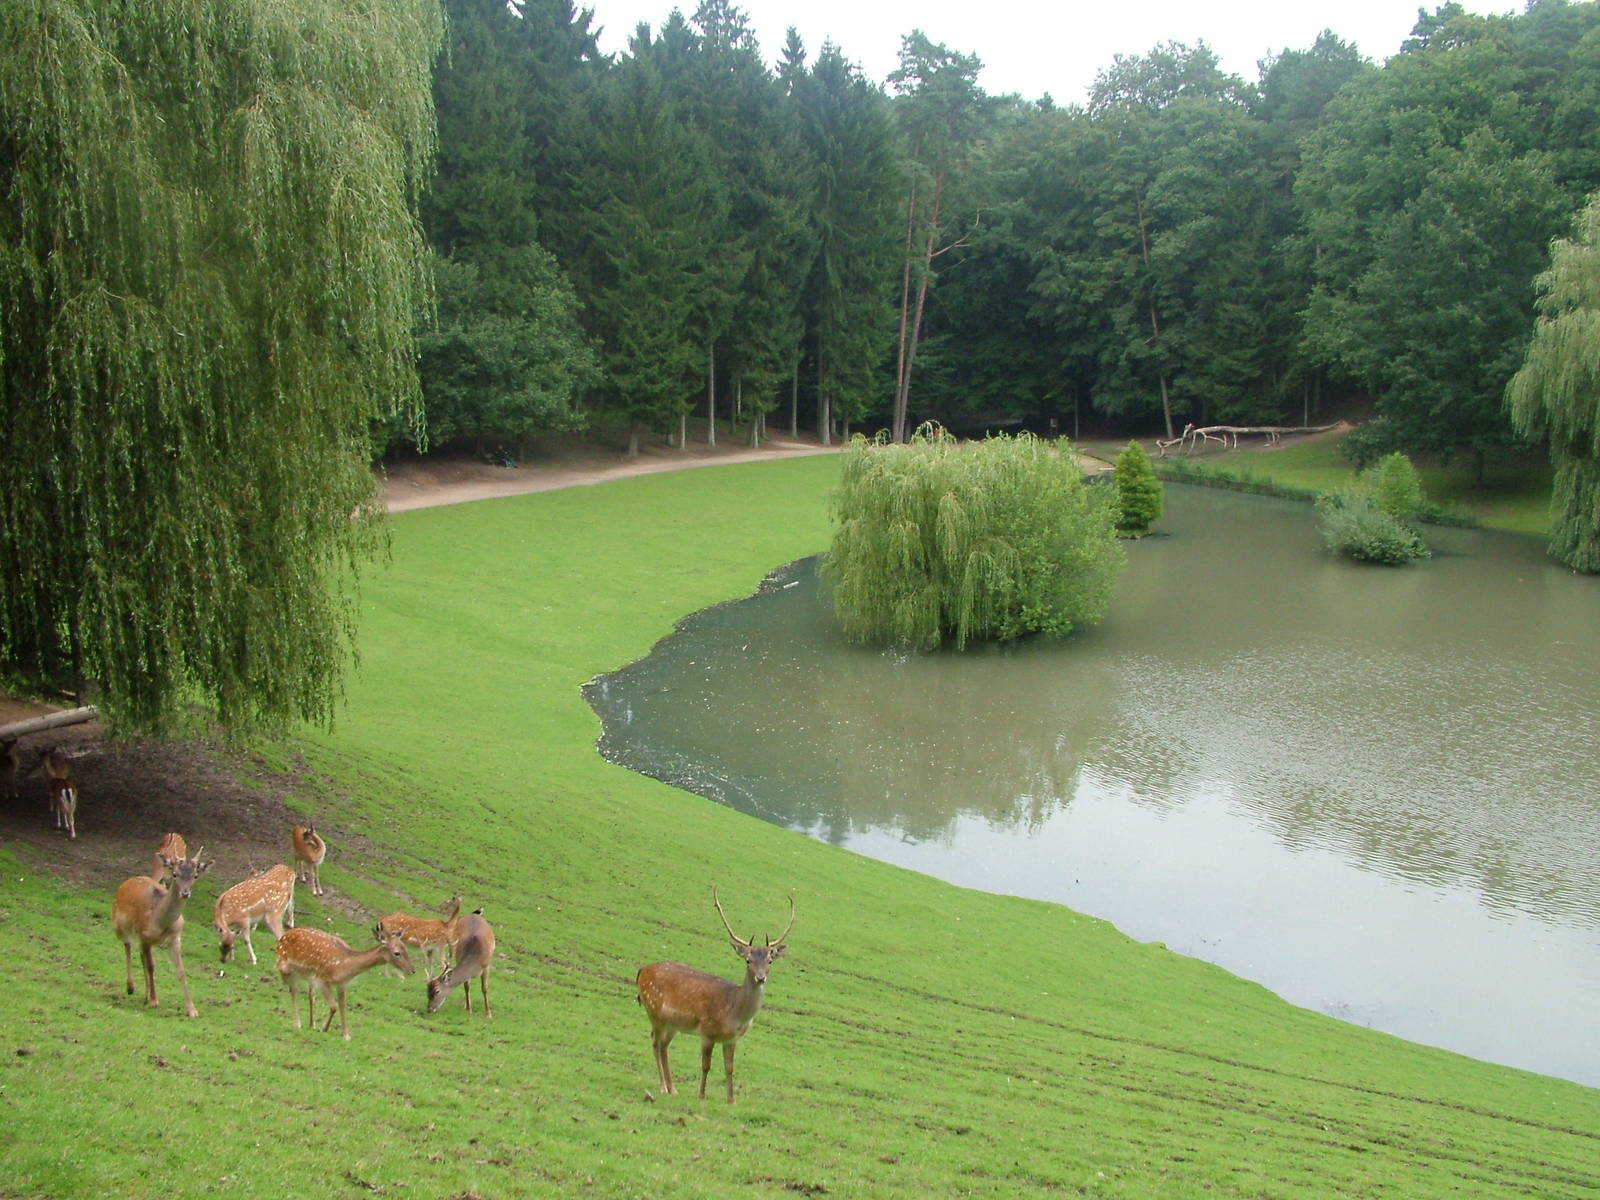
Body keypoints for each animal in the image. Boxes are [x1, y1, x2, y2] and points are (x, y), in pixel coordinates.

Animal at [110, 846, 210, 1018]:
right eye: (175, 874)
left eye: (195, 875)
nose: (185, 893)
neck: (160, 922)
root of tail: (127, 882)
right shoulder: (145, 936)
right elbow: (151, 966)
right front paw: (154, 1001)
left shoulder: (175, 938)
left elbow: (181, 971)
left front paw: (192, 1010)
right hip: (119, 925)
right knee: (128, 946)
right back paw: (131, 987)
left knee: (140, 955)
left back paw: (145, 995)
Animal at [274, 923, 414, 1040]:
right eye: (397, 953)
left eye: (406, 949)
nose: (412, 970)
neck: (343, 968)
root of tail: (282, 937)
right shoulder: (321, 980)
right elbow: (334, 1006)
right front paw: (324, 1028)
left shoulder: (342, 984)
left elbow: (342, 1006)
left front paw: (346, 1035)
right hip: (285, 967)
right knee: (293, 991)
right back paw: (297, 1023)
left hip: (308, 977)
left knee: (310, 995)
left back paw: (311, 1024)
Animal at [636, 888, 794, 1103]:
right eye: (748, 960)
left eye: (770, 960)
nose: (760, 977)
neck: (734, 1012)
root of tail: (642, 970)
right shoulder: (707, 1031)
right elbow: (706, 1065)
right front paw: (701, 1095)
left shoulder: (732, 1039)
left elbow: (730, 1068)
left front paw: (731, 1100)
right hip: (654, 1012)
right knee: (654, 1042)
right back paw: (662, 1087)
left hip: (673, 1023)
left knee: (663, 1046)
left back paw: (673, 1089)